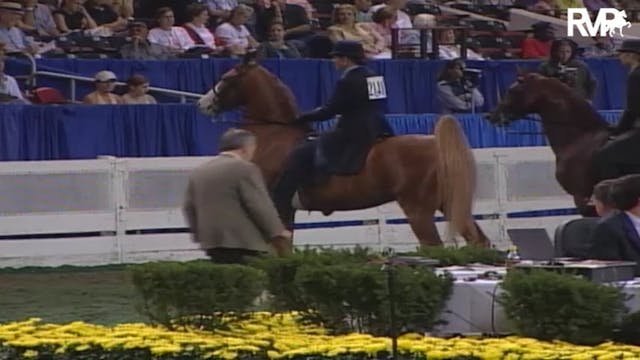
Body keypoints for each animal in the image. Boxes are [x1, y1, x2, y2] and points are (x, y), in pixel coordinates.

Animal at [198, 59, 488, 248]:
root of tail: (437, 145)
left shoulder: (275, 206)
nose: (203, 104)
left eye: (226, 78)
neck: (274, 133)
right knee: (479, 242)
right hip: (450, 205)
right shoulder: (284, 211)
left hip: (419, 211)